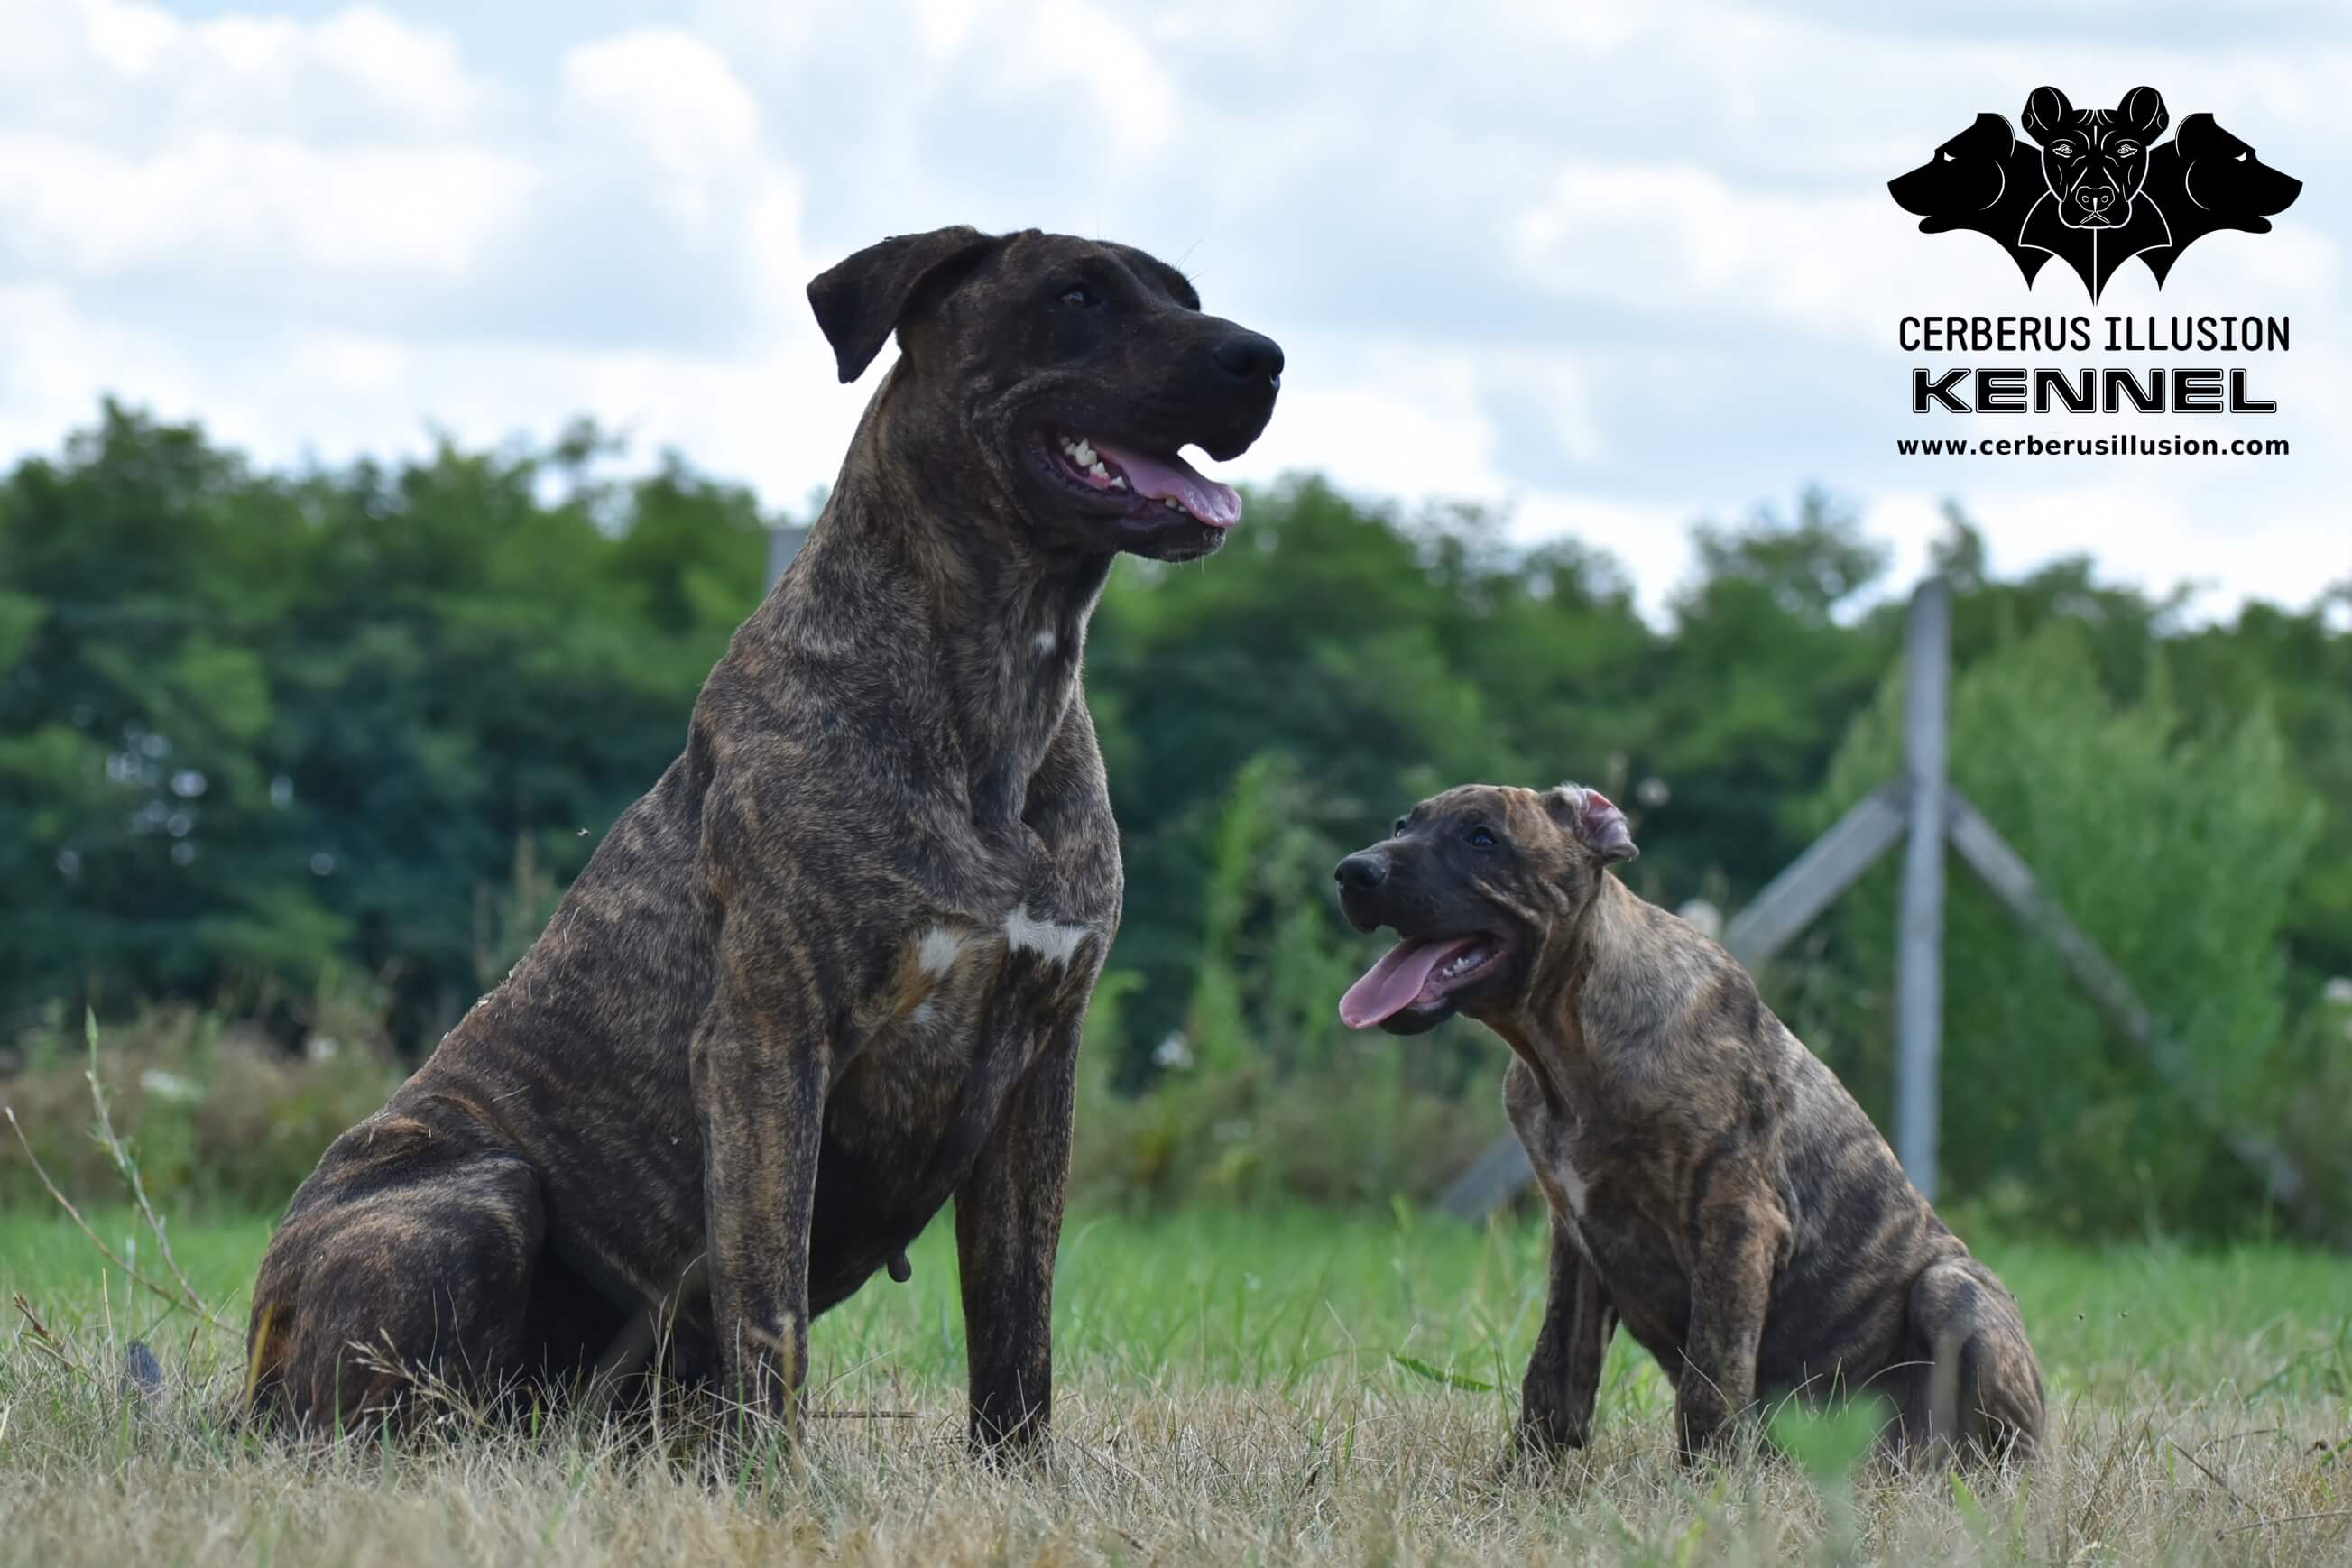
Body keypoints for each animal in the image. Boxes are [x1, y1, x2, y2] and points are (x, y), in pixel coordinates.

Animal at [250, 226, 1288, 1457]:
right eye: (1077, 295)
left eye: (1184, 293)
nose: (1261, 357)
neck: (1000, 679)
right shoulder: (767, 1040)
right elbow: (771, 1306)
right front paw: (778, 1479)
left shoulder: (1041, 1066)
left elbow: (1017, 1330)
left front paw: (1020, 1479)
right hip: (471, 1195)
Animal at [1345, 789, 2041, 1466]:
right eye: (1402, 825)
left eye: (1481, 837)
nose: (1353, 871)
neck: (1568, 1045)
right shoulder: (1575, 1240)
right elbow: (1553, 1372)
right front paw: (1521, 1480)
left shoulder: (1735, 1220)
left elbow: (1712, 1376)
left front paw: (1706, 1485)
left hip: (1953, 1291)